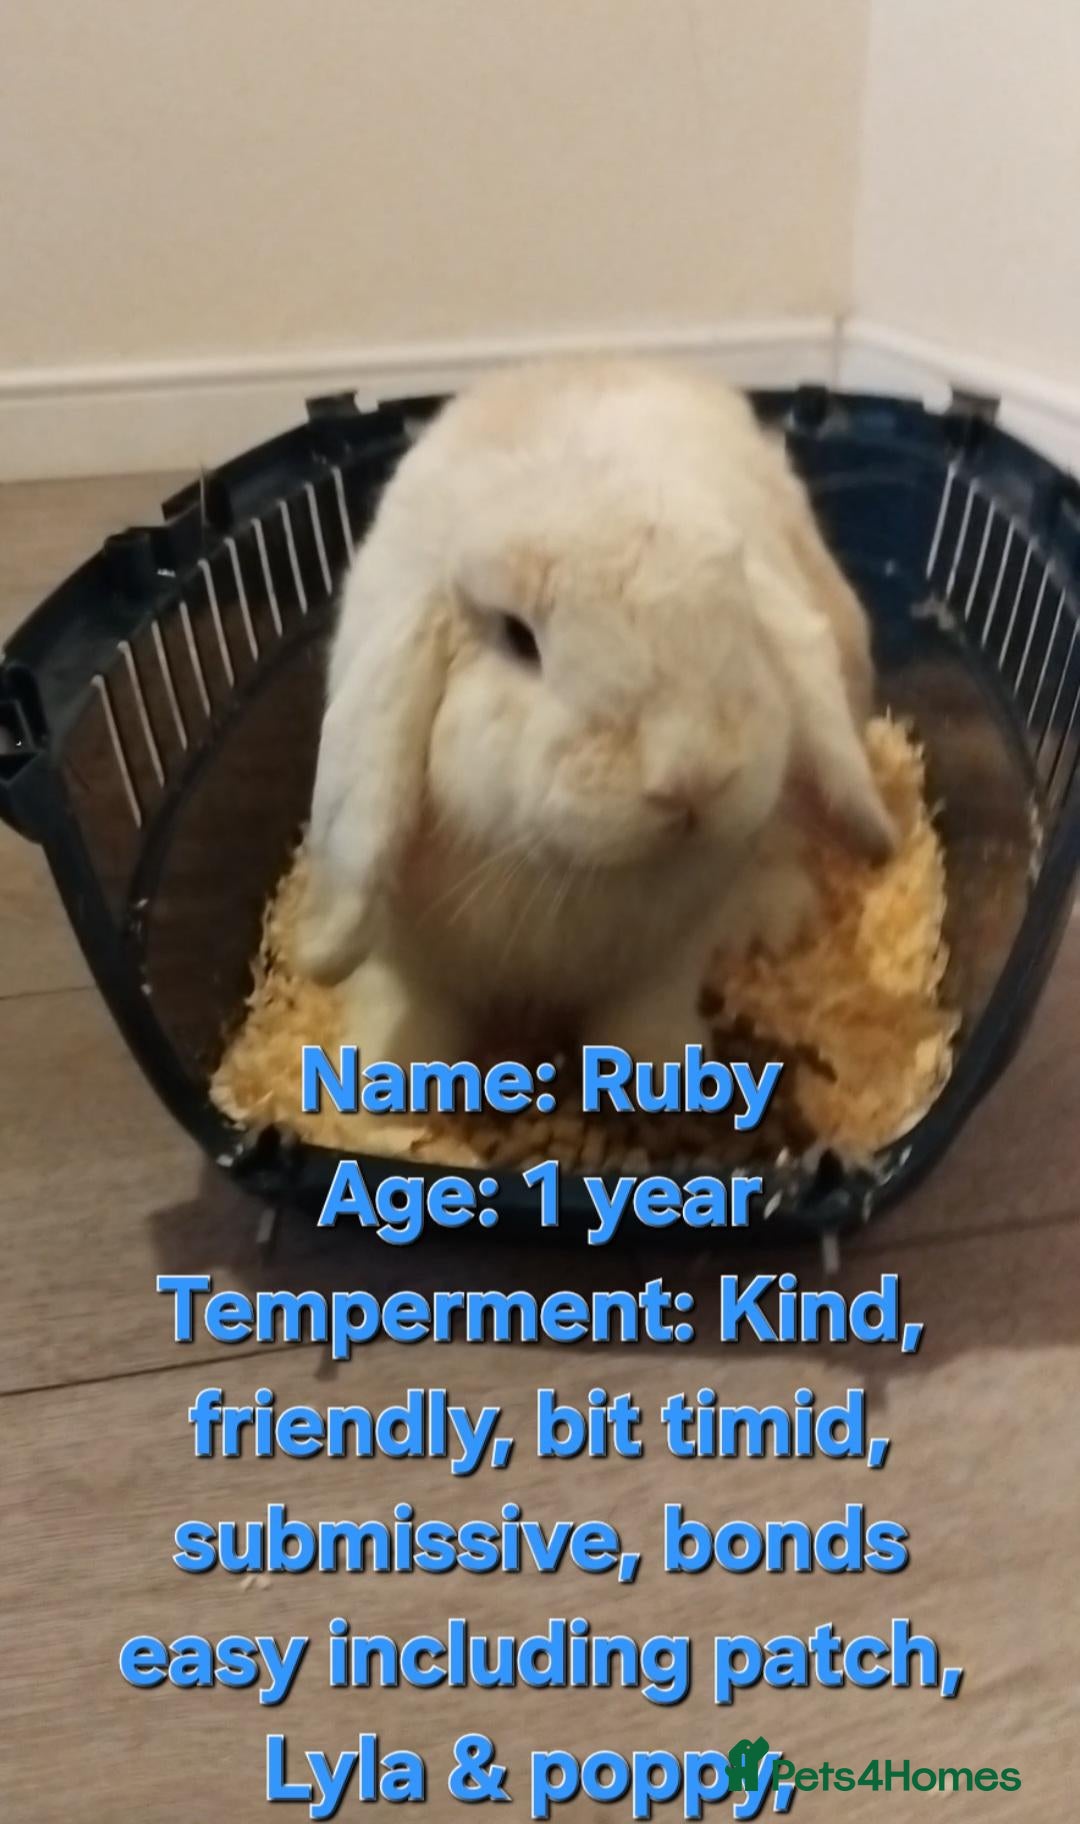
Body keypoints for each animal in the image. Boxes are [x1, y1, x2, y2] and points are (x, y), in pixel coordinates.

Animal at [298, 357, 895, 1068]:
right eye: (518, 638)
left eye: (736, 612)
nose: (692, 778)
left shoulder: (662, 965)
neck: (570, 876)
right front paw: (380, 1070)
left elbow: (641, 1026)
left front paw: (663, 1064)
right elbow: (407, 1019)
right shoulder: (410, 966)